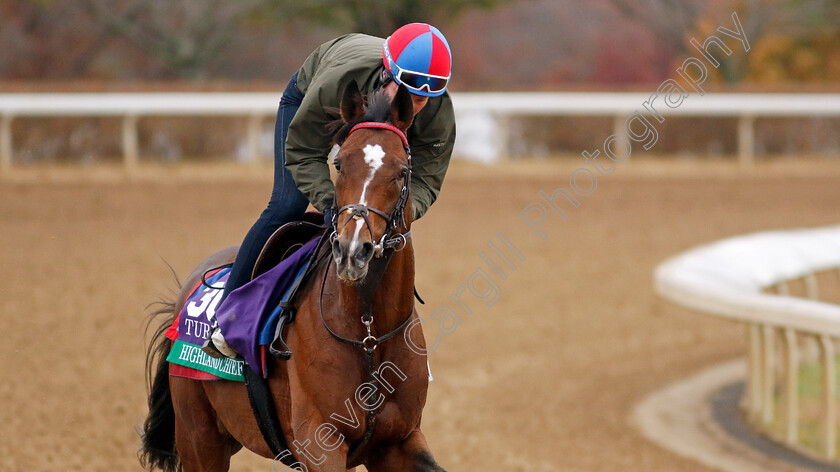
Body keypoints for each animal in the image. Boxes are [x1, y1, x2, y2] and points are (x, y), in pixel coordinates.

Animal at [139, 83, 450, 470]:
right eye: (339, 163)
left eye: (402, 170)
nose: (353, 250)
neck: (367, 332)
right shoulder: (320, 442)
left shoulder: (399, 441)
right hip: (198, 435)